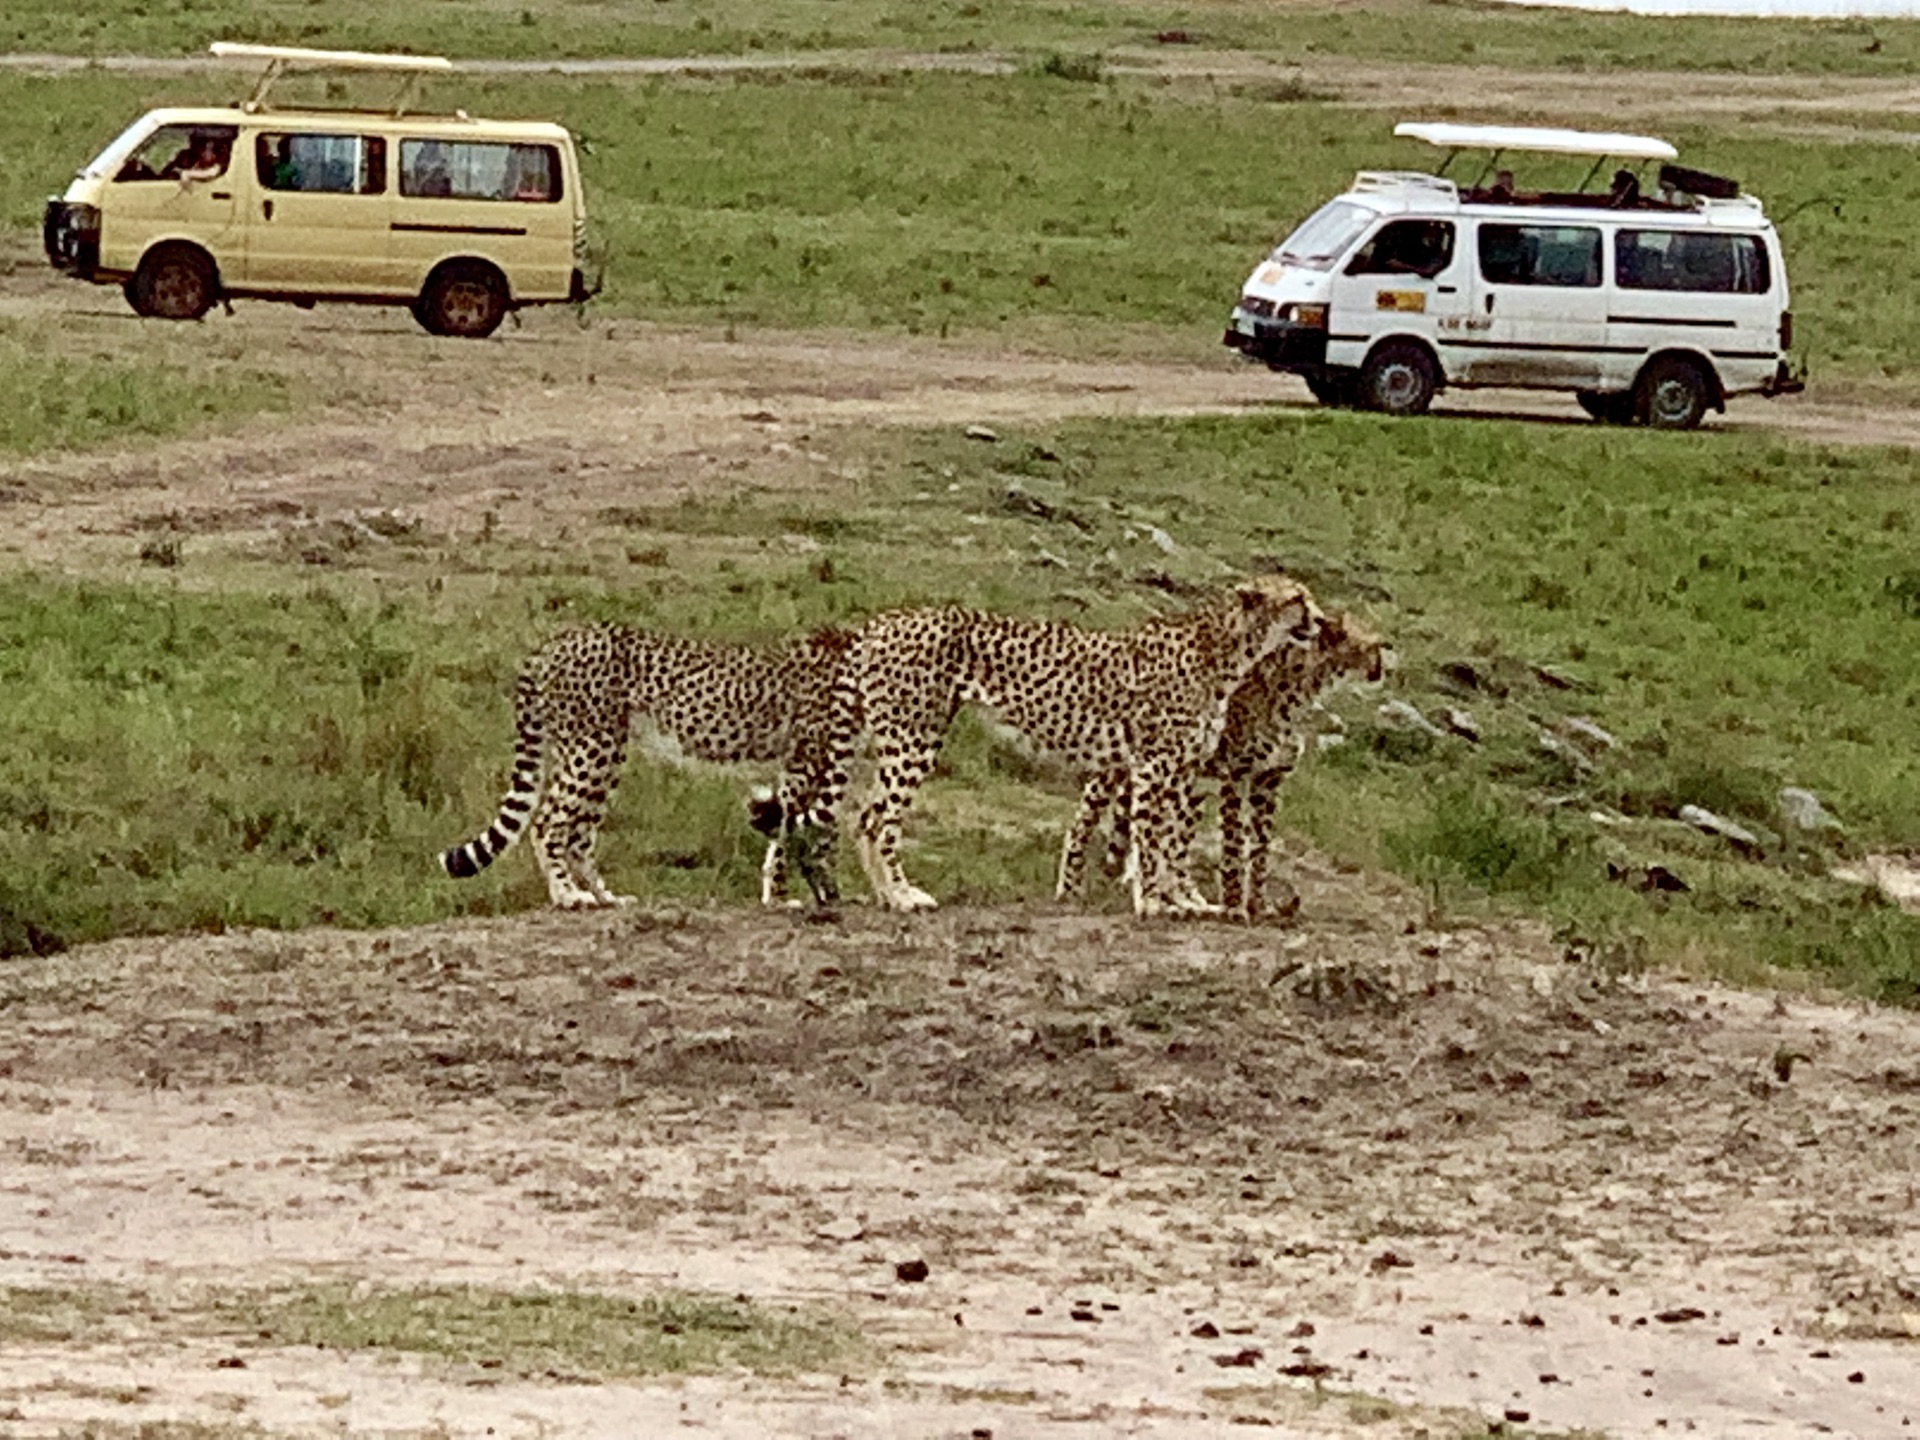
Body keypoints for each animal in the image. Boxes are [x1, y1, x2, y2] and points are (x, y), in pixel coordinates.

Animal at [443, 622, 856, 913]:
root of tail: (558, 639)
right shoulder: (803, 765)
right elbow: (792, 833)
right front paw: (785, 896)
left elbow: (817, 832)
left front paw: (825, 892)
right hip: (592, 749)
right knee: (548, 822)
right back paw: (568, 894)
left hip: (599, 755)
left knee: (579, 835)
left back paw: (605, 897)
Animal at [760, 572, 1320, 913]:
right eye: (1296, 600)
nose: (1320, 620)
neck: (1227, 648)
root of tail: (882, 620)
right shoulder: (1155, 765)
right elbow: (1151, 839)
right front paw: (1154, 904)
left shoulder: (1180, 770)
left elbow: (1169, 843)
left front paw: (1182, 902)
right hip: (914, 739)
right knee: (876, 819)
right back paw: (901, 895)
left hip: (896, 738)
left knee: (854, 816)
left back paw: (884, 895)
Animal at [1059, 610, 1390, 925]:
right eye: (1371, 645)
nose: (1383, 662)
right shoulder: (1235, 774)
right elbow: (1233, 846)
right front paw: (1234, 907)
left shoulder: (1267, 779)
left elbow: (1260, 848)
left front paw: (1258, 905)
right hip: (1122, 766)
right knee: (1084, 822)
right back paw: (1071, 890)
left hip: (1187, 784)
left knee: (1174, 843)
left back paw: (1186, 899)